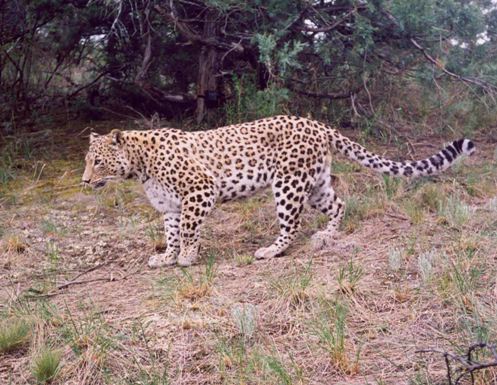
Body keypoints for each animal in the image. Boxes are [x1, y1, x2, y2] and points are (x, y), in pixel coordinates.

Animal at [81, 114, 472, 268]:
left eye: (97, 162)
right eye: (87, 161)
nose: (84, 181)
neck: (139, 165)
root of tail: (317, 124)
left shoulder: (200, 192)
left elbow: (190, 232)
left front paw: (187, 258)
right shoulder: (171, 207)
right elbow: (173, 233)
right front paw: (166, 257)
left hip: (288, 183)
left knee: (292, 224)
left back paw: (271, 250)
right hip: (315, 184)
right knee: (339, 203)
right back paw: (327, 237)